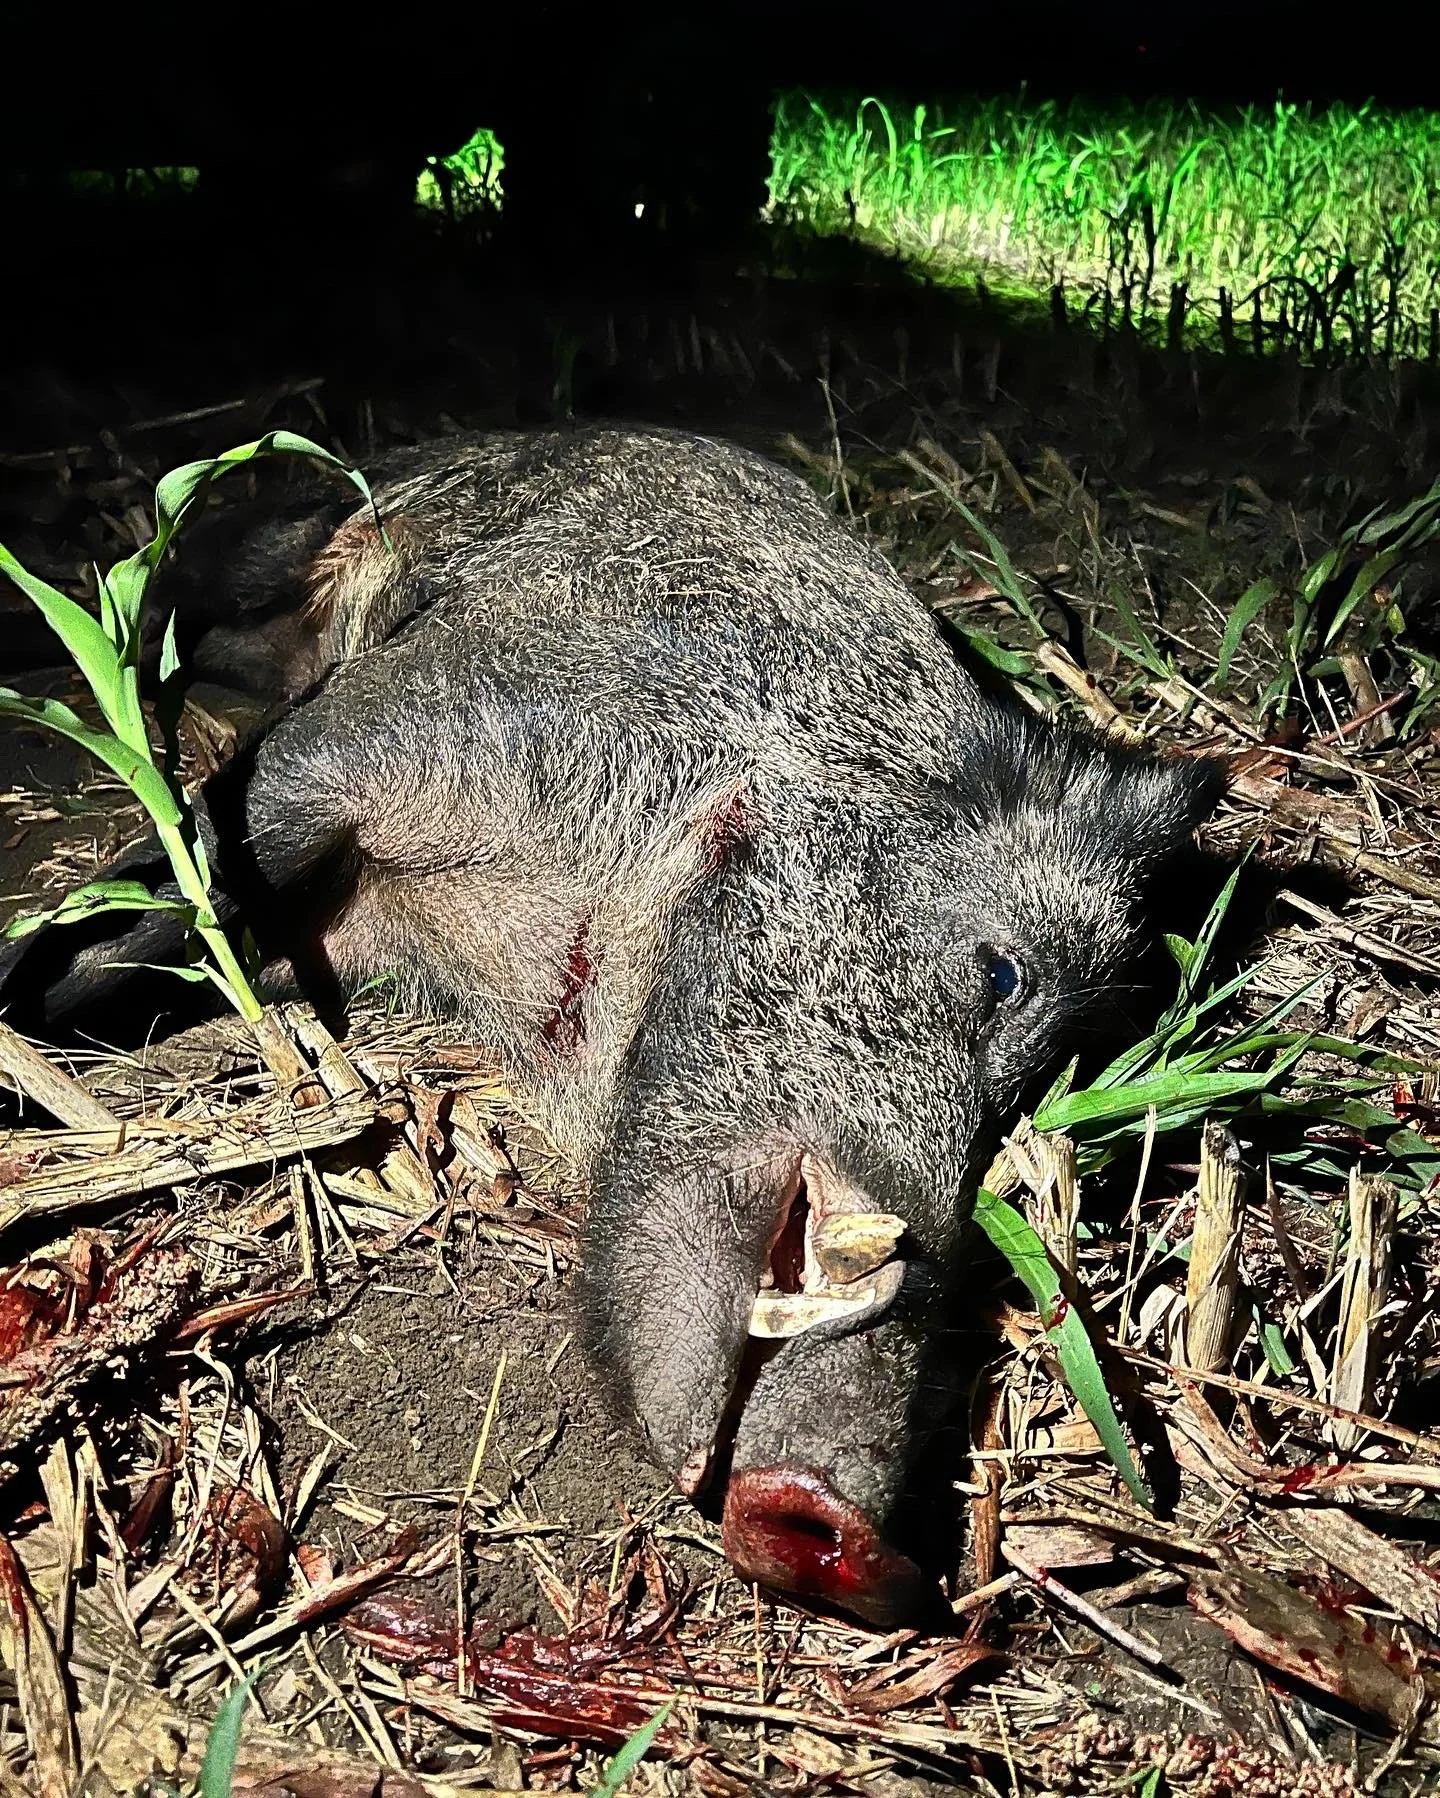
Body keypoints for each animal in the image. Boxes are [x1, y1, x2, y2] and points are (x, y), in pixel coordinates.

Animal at [0, 425, 1221, 1622]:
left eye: (1033, 1104)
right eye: (1004, 975)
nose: (869, 1556)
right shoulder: (395, 727)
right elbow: (185, 873)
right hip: (278, 536)